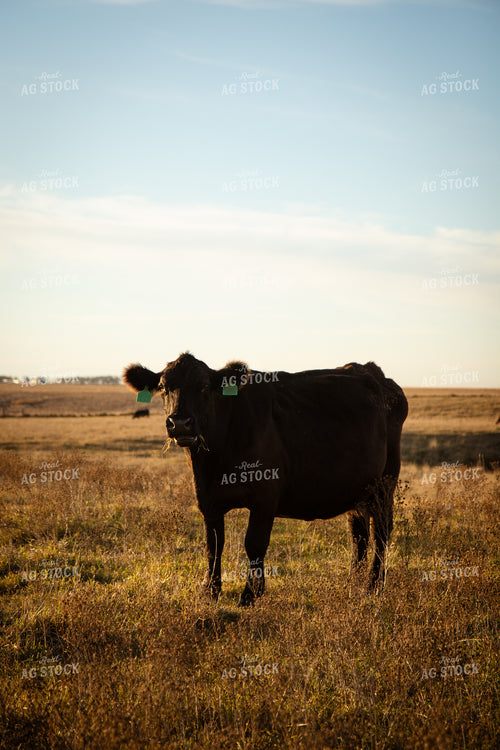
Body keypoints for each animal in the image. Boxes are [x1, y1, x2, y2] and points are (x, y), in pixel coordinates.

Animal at [123, 352, 408, 606]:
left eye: (204, 386)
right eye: (163, 387)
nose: (180, 423)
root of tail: (372, 372)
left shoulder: (265, 498)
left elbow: (254, 543)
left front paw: (251, 594)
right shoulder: (207, 501)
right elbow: (213, 545)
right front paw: (210, 591)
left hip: (385, 484)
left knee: (381, 532)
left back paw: (373, 586)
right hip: (357, 492)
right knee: (358, 535)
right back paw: (353, 583)